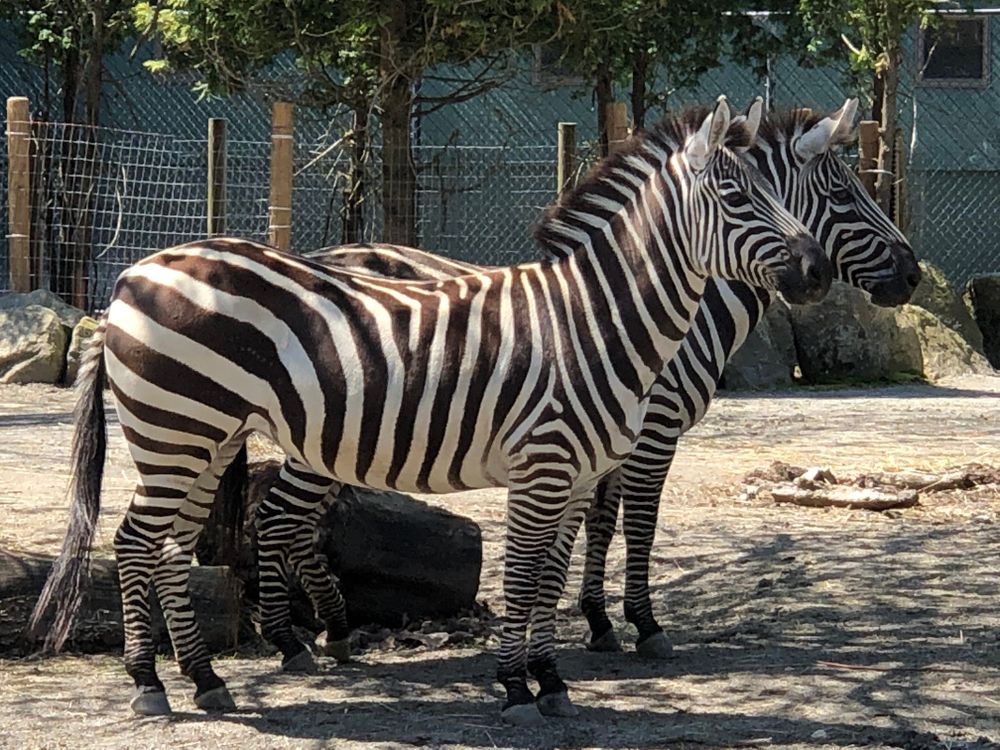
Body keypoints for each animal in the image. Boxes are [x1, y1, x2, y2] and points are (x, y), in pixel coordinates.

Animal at [30, 98, 831, 725]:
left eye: (783, 195)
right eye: (737, 199)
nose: (817, 271)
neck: (595, 320)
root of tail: (132, 276)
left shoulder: (575, 478)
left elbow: (549, 577)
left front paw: (551, 681)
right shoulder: (543, 466)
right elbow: (524, 574)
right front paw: (515, 688)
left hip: (207, 435)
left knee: (167, 547)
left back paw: (203, 680)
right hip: (176, 428)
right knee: (135, 541)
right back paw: (149, 684)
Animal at [292, 99, 920, 661]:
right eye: (843, 194)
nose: (914, 275)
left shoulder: (610, 434)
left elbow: (598, 520)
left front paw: (594, 621)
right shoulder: (651, 430)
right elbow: (637, 523)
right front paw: (641, 624)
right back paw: (314, 633)